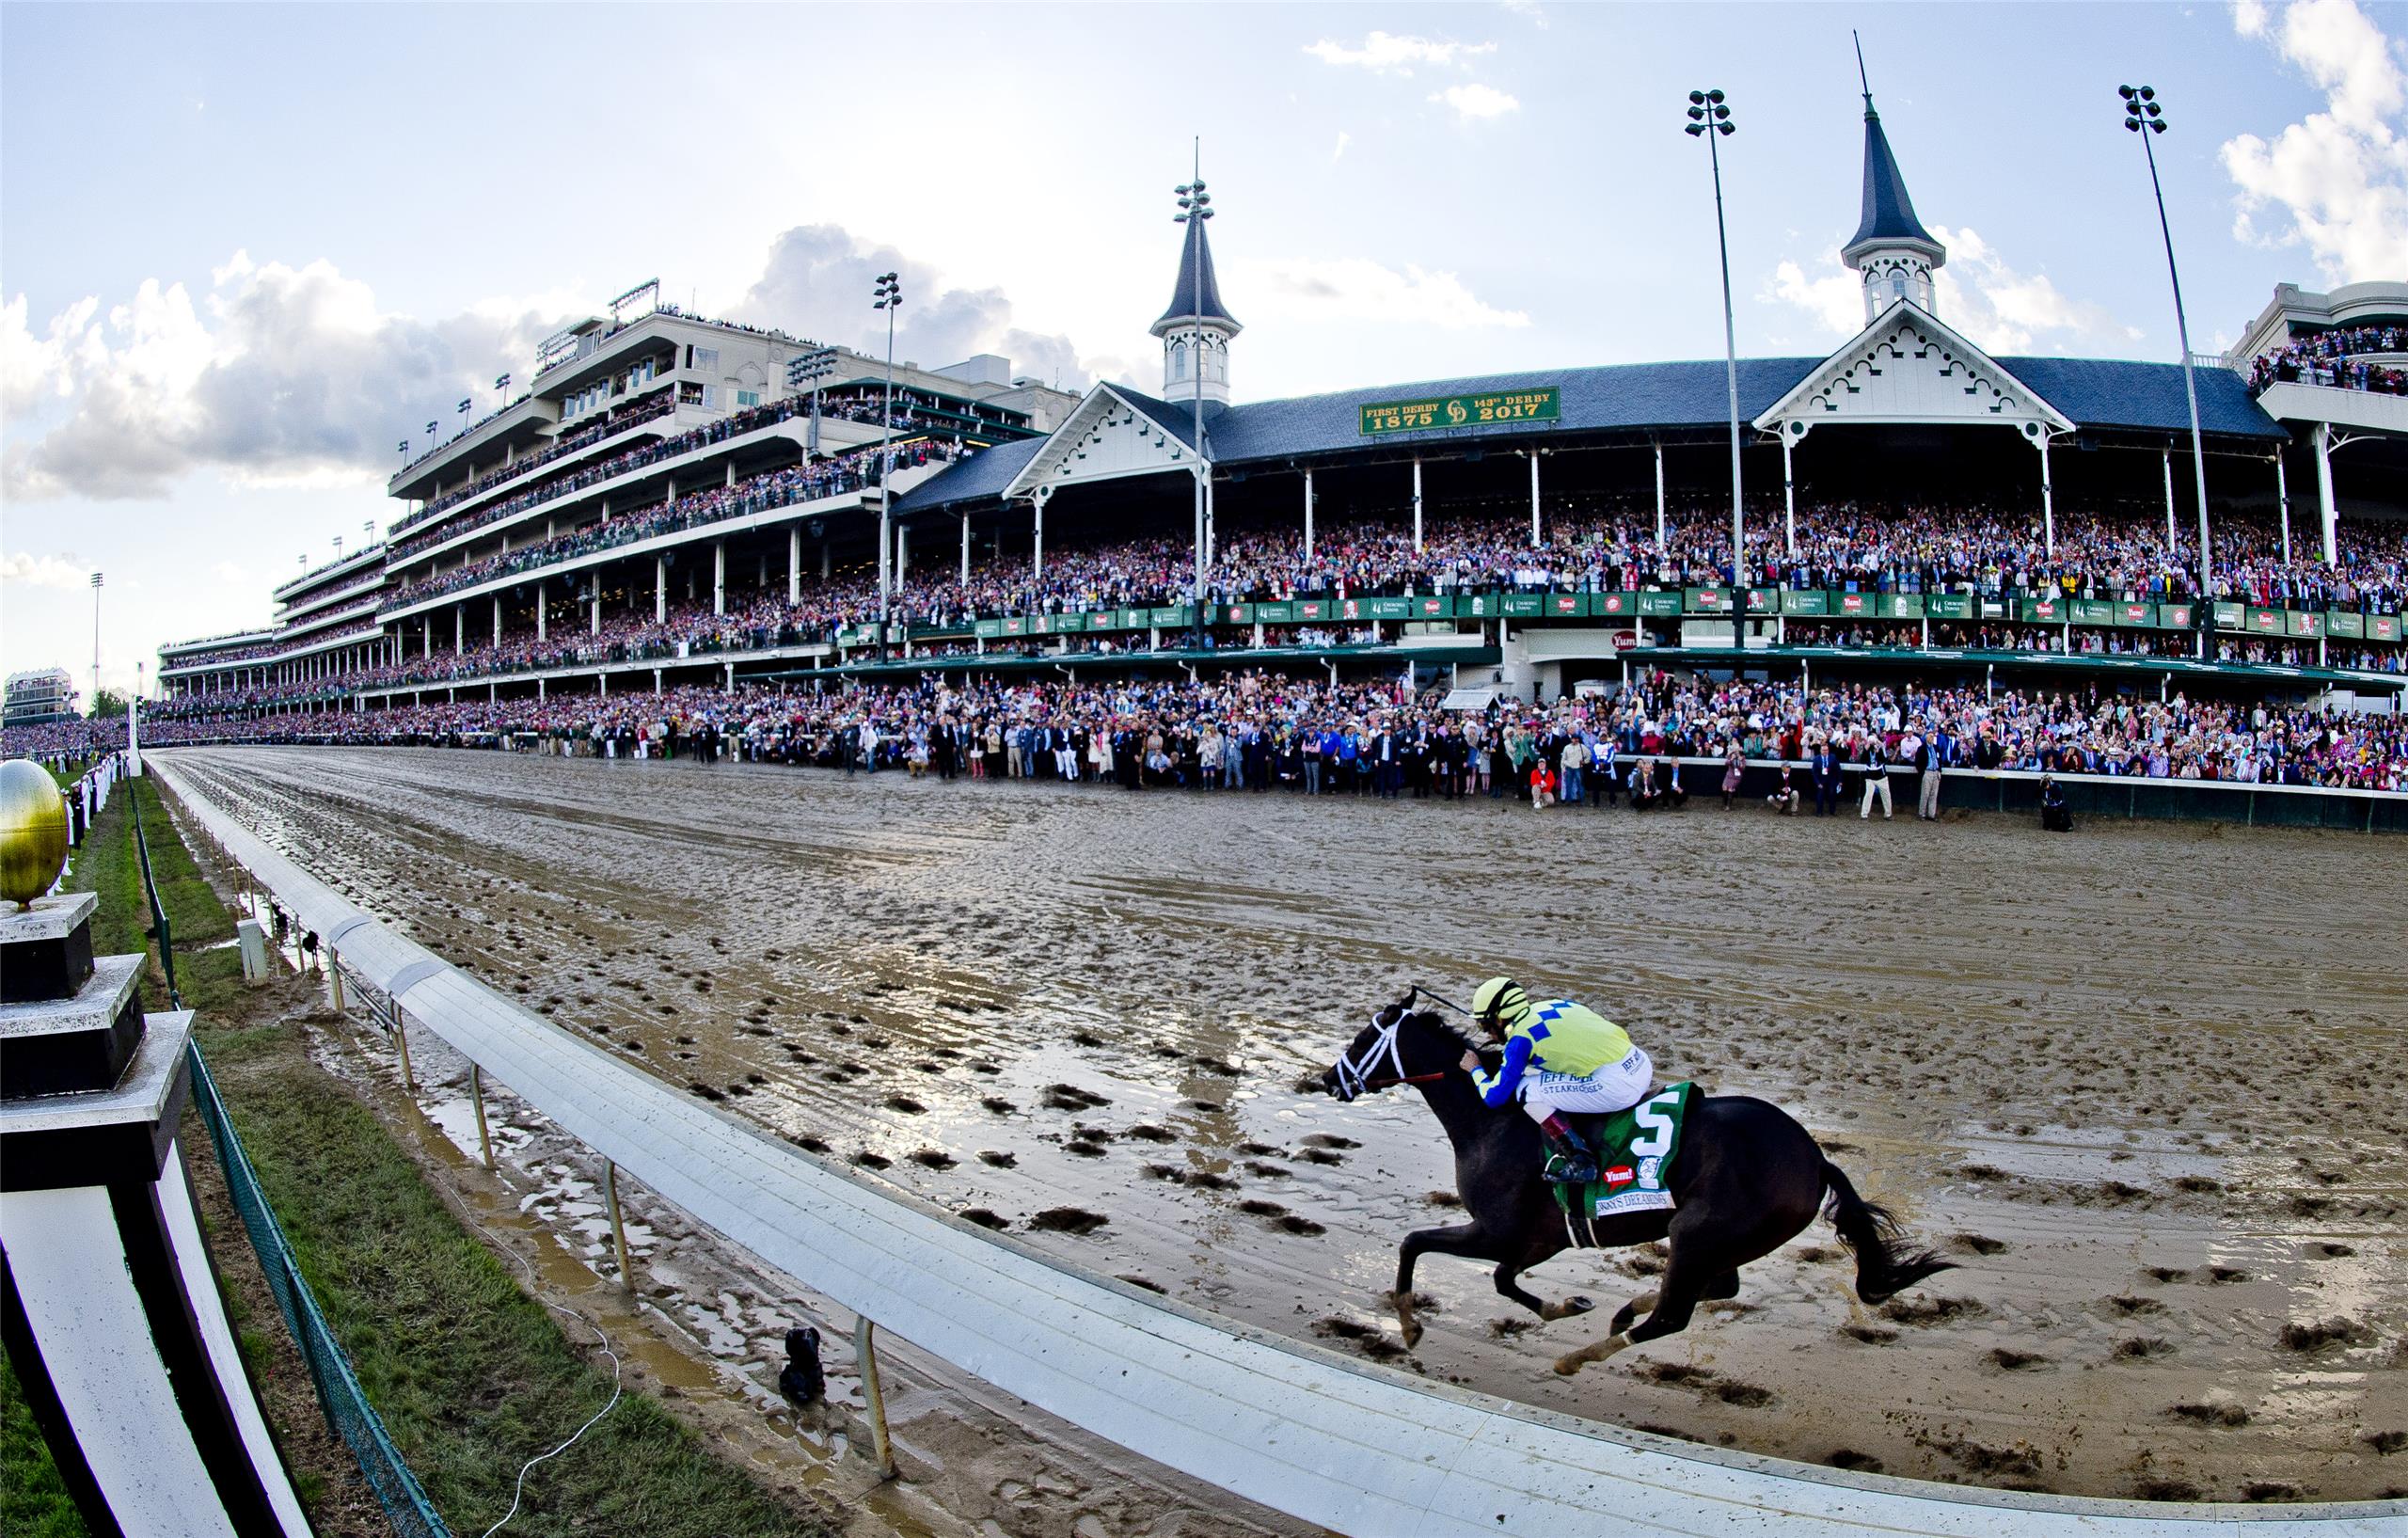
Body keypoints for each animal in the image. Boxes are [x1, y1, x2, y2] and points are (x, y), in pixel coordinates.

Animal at [1320, 1001, 1953, 1376]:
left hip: (1699, 1231)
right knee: (1716, 1286)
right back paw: (1624, 1310)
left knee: (1676, 1315)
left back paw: (1580, 1357)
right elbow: (1503, 1280)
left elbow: (1415, 1243)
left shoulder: (1497, 1229)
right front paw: (1564, 1304)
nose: (1329, 1080)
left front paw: (1409, 1325)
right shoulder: (1544, 1236)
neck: (1490, 1119)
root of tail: (1817, 1158)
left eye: (1362, 1039)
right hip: (1722, 1238)